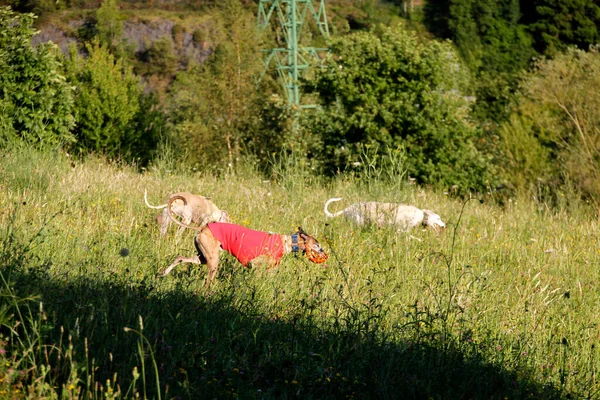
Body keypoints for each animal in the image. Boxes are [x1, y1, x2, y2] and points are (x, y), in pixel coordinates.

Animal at [161, 195, 328, 286]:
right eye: (317, 245)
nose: (325, 253)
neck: (286, 242)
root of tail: (203, 228)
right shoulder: (255, 265)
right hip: (213, 261)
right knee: (208, 281)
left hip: (203, 256)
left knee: (180, 257)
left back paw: (163, 274)